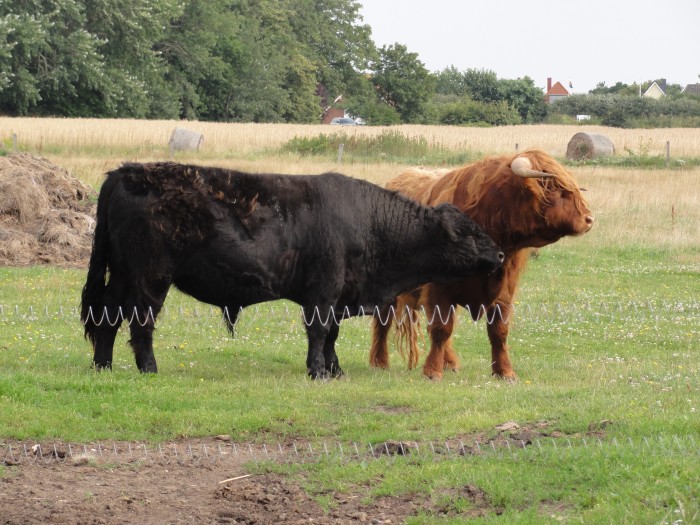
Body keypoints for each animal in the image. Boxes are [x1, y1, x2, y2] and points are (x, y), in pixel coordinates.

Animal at [82, 163, 504, 376]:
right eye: (470, 232)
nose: (500, 255)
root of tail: (125, 171)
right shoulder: (324, 290)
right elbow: (319, 332)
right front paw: (317, 370)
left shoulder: (340, 295)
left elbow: (332, 334)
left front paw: (335, 370)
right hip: (151, 276)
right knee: (140, 321)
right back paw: (148, 368)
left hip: (121, 274)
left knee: (107, 315)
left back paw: (103, 365)